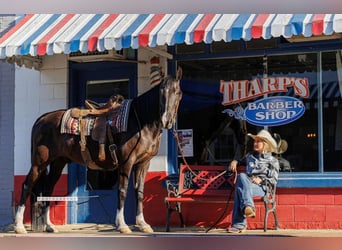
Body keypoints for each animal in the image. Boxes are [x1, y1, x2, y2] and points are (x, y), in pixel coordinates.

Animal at [14, 69, 183, 234]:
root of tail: (42, 119)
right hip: (39, 162)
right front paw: (122, 225)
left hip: (58, 163)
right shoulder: (126, 162)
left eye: (178, 92)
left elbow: (140, 192)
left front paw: (143, 224)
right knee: (27, 186)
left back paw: (50, 226)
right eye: (161, 91)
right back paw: (19, 226)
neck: (140, 121)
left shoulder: (143, 163)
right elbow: (122, 191)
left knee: (48, 188)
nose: (167, 120)